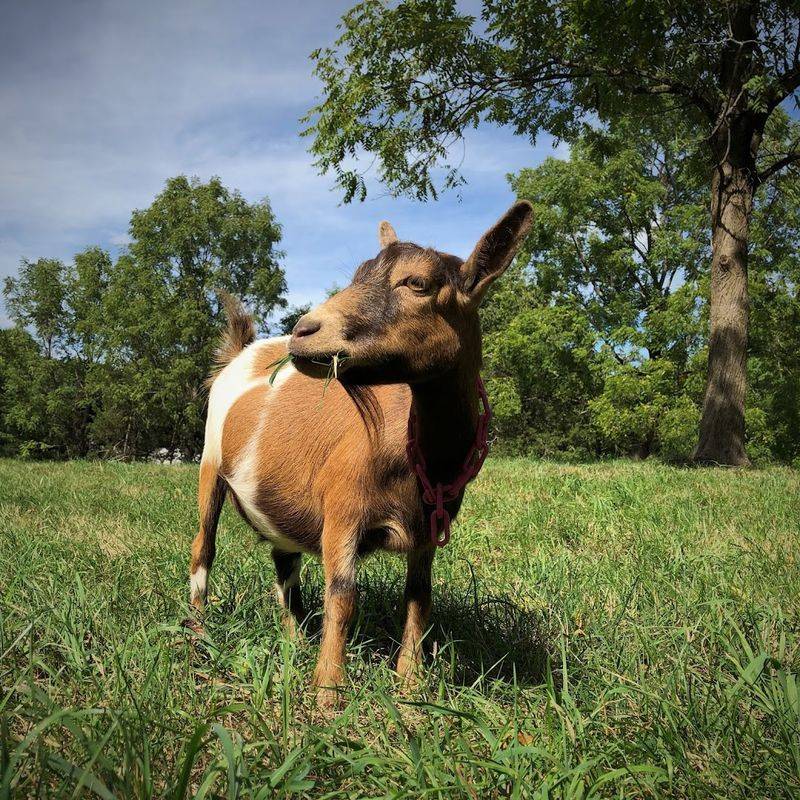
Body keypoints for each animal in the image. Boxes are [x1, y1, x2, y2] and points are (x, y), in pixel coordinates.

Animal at [189, 201, 533, 706]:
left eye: (416, 283)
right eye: (358, 274)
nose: (304, 331)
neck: (422, 459)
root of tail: (240, 353)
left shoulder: (428, 529)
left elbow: (419, 596)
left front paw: (409, 685)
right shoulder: (342, 510)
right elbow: (344, 595)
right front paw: (327, 695)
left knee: (284, 566)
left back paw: (294, 641)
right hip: (210, 462)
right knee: (204, 545)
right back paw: (197, 633)